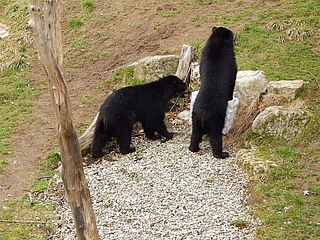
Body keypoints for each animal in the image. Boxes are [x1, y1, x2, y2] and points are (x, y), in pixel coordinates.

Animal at [189, 26, 236, 158]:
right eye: (232, 33)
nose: (236, 36)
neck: (218, 42)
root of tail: (203, 114)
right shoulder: (230, 61)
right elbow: (232, 78)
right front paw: (231, 97)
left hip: (195, 119)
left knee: (195, 135)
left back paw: (193, 148)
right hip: (216, 120)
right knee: (216, 138)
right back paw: (222, 153)